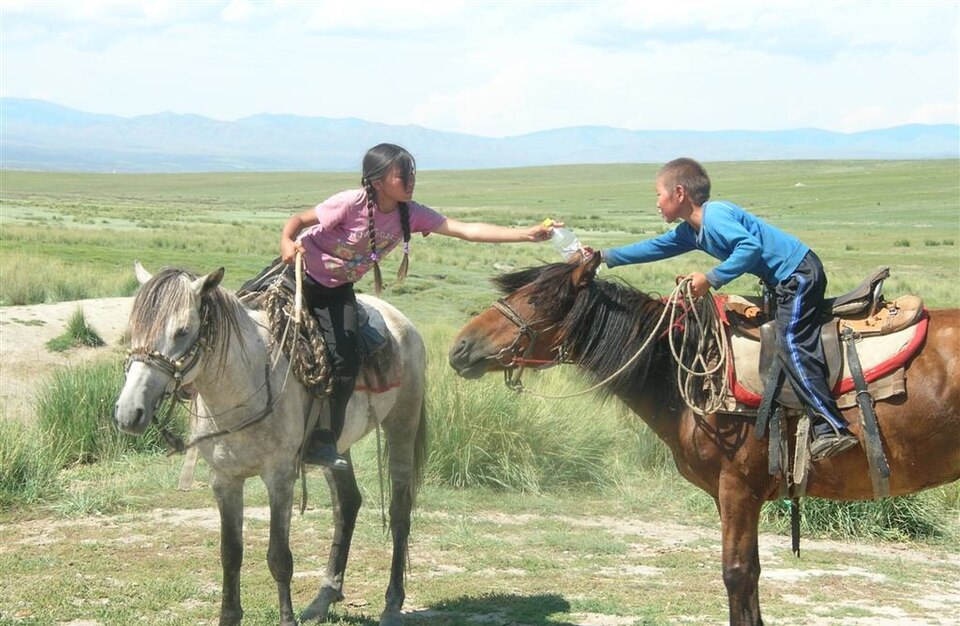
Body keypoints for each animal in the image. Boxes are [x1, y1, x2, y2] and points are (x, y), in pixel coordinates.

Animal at [114, 262, 428, 626]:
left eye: (182, 331)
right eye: (134, 329)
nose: (129, 412)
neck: (242, 387)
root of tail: (402, 321)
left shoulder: (279, 476)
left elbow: (279, 557)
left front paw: (286, 619)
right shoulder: (224, 479)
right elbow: (230, 553)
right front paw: (229, 616)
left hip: (402, 426)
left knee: (399, 511)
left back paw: (392, 603)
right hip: (339, 447)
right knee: (347, 504)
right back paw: (324, 597)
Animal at [447, 255, 960, 626]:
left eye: (538, 300)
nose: (460, 348)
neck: (685, 369)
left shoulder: (737, 487)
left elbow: (737, 575)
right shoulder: (732, 494)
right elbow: (751, 576)